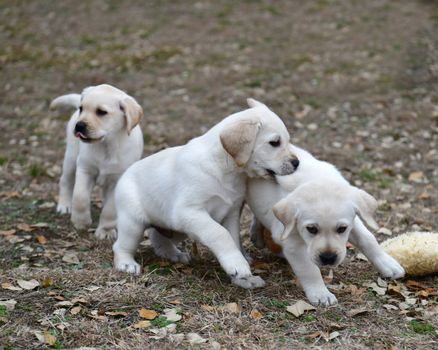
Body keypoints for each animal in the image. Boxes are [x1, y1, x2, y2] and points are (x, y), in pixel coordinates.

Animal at [50, 83, 144, 239]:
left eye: (101, 112)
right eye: (82, 109)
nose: (79, 125)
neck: (106, 144)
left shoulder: (116, 180)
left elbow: (109, 209)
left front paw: (106, 230)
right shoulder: (85, 169)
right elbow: (80, 197)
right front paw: (81, 221)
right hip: (71, 158)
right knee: (65, 181)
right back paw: (64, 205)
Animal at [112, 99, 302, 290]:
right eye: (274, 142)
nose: (296, 163)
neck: (225, 169)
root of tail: (124, 174)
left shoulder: (231, 213)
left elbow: (234, 239)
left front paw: (244, 278)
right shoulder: (189, 211)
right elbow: (219, 234)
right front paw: (238, 264)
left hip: (174, 226)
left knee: (157, 237)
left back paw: (174, 254)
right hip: (133, 223)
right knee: (120, 245)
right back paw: (126, 264)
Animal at [248, 144, 406, 304]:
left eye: (342, 229)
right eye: (311, 229)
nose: (328, 258)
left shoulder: (353, 221)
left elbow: (368, 239)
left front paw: (388, 264)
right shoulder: (292, 242)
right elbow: (309, 269)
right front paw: (321, 293)